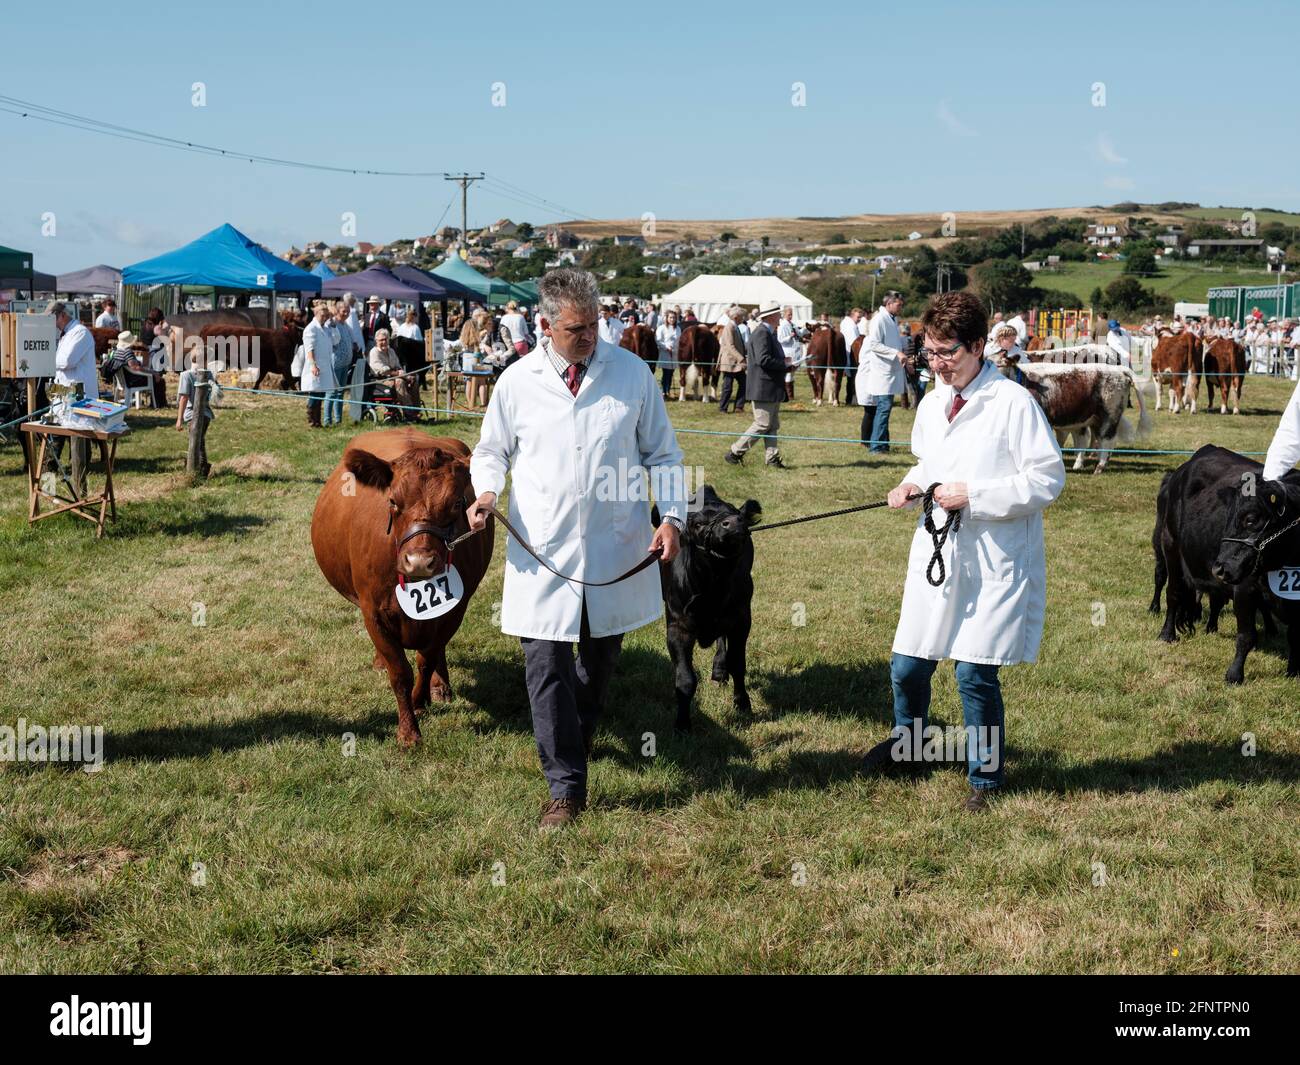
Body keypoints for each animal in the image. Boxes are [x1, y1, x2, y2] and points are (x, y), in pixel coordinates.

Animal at [309, 429, 491, 743]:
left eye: (457, 503)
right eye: (393, 501)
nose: (419, 562)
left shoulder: (454, 611)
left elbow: (426, 658)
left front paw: (421, 700)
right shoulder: (373, 612)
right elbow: (400, 672)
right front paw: (408, 732)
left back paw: (440, 686)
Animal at [650, 486, 759, 728]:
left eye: (737, 513)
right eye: (698, 524)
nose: (733, 523)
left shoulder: (741, 619)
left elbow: (738, 663)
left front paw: (743, 703)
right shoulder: (677, 627)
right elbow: (685, 679)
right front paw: (682, 723)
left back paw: (719, 668)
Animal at [998, 356, 1154, 473]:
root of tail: (1118, 369)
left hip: (1110, 415)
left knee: (1106, 439)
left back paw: (1099, 467)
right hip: (1095, 418)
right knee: (1097, 439)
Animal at [1154, 444, 1294, 681]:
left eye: (1251, 520)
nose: (1223, 567)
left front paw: (1292, 672)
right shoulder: (1245, 587)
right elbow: (1246, 635)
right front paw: (1235, 675)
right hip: (1169, 545)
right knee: (1172, 592)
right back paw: (1167, 634)